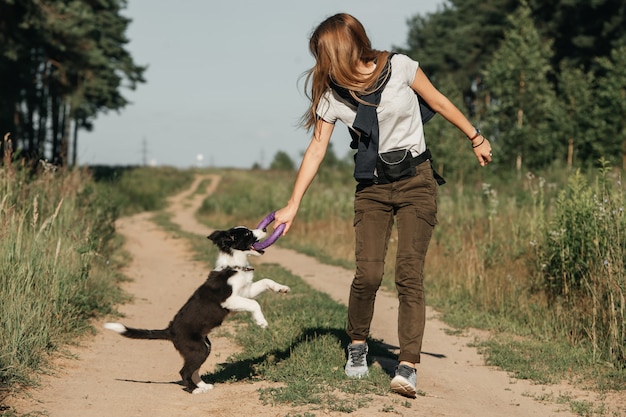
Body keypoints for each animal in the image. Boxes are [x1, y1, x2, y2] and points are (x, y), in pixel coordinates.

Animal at [102, 226, 288, 392]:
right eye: (248, 233)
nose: (265, 229)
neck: (234, 265)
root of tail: (170, 330)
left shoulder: (246, 291)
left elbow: (265, 281)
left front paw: (282, 288)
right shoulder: (229, 300)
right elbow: (254, 304)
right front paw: (261, 321)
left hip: (204, 347)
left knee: (193, 370)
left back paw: (203, 386)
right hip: (197, 349)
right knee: (184, 372)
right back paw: (194, 390)